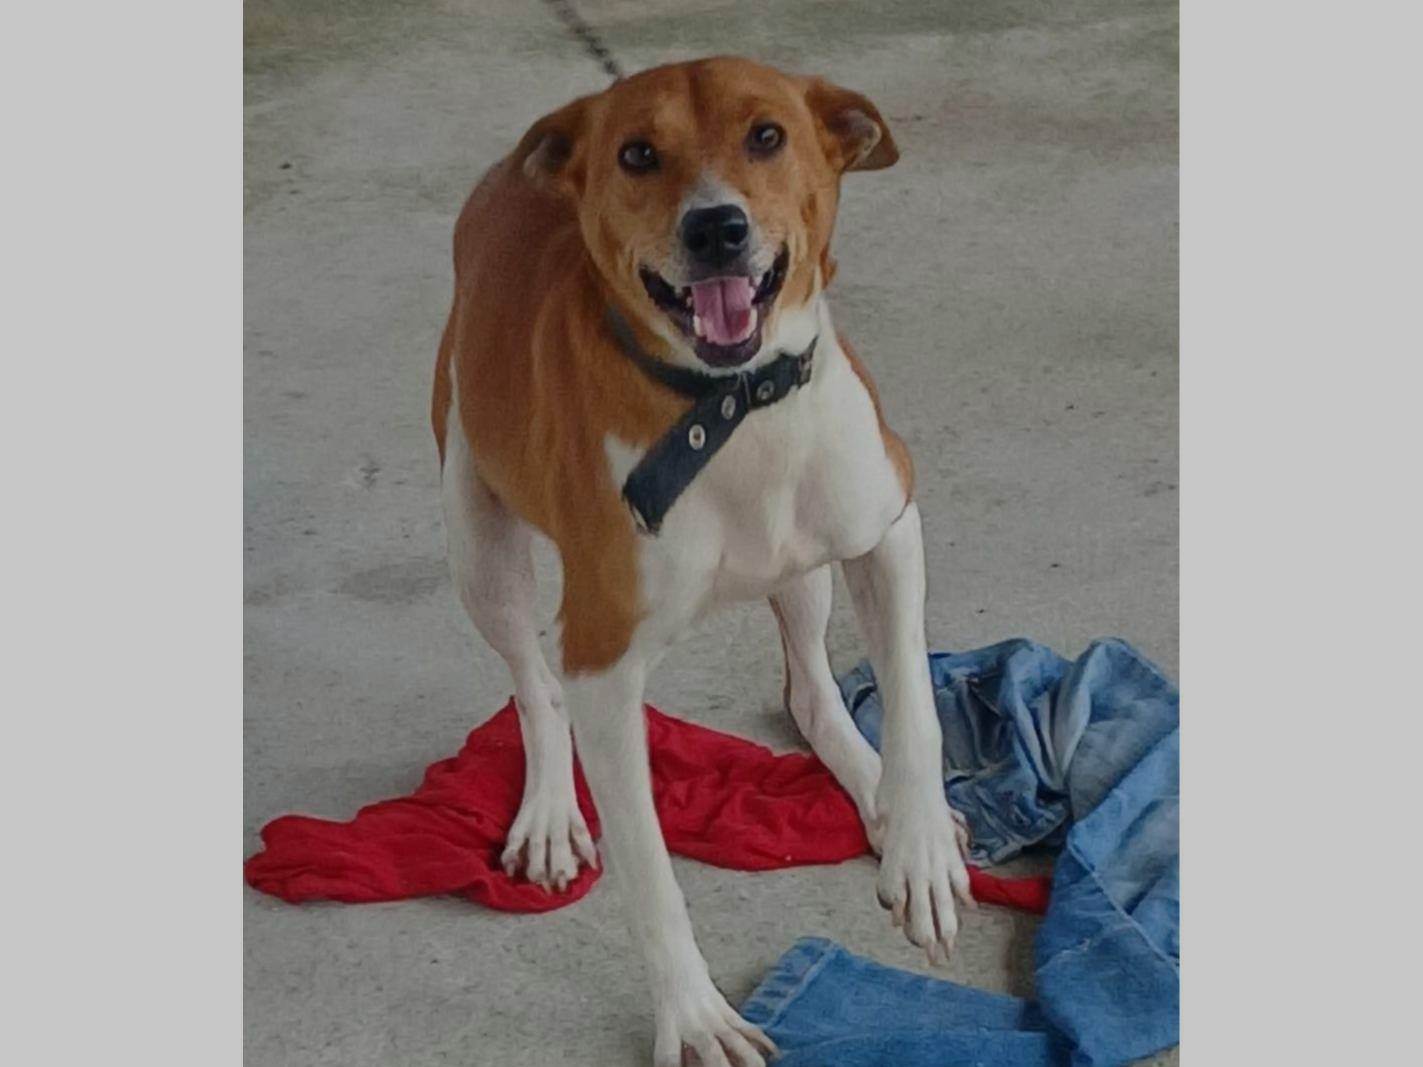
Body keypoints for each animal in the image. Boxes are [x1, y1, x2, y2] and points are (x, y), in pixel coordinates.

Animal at [432, 56, 973, 1067]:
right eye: (637, 154)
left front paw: (918, 847)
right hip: (477, 543)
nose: (715, 227)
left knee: (809, 689)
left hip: (804, 568)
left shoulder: (887, 528)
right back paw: (551, 813)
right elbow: (649, 872)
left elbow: (915, 706)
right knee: (532, 685)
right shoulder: (604, 664)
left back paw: (876, 794)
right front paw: (692, 1017)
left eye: (767, 135)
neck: (730, 406)